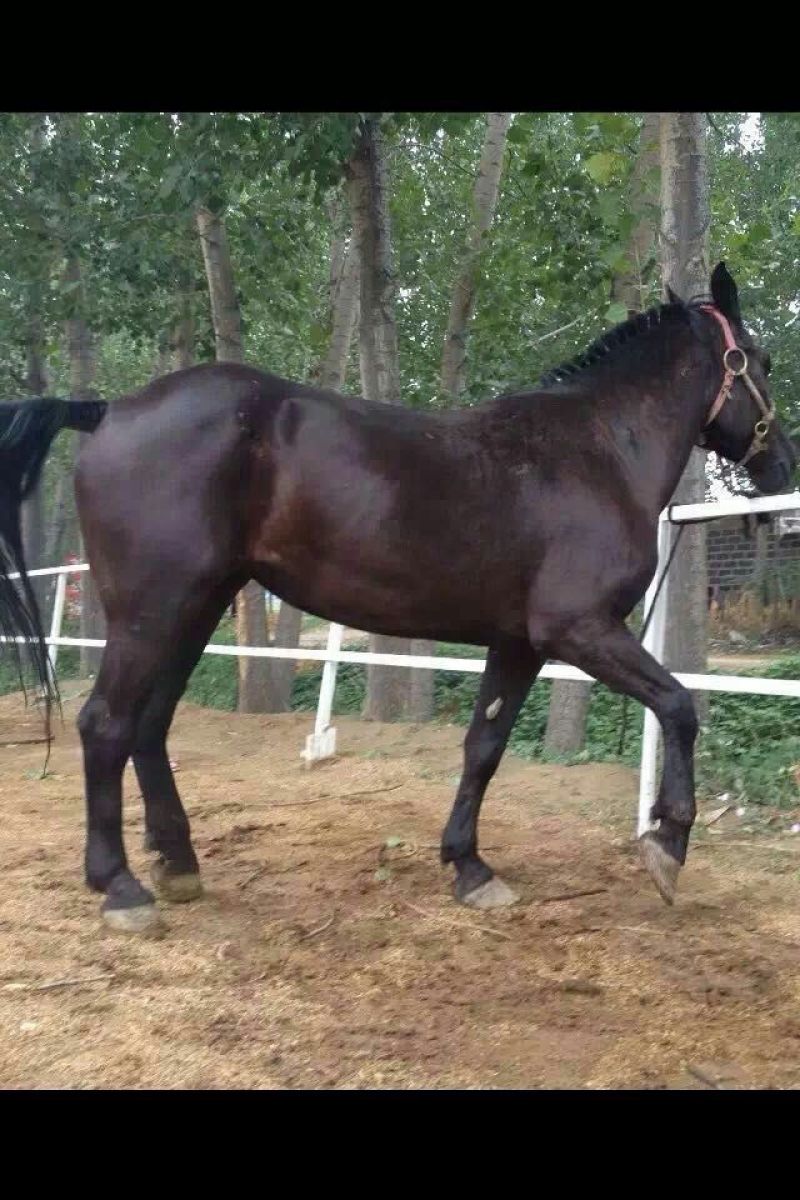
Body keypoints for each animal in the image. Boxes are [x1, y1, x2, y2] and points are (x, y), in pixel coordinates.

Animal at [0, 262, 794, 935]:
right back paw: (121, 888)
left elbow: (483, 747)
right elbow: (679, 706)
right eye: (759, 360)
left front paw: (470, 867)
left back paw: (178, 864)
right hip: (151, 612)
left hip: (193, 609)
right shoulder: (579, 630)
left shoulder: (518, 642)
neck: (597, 448)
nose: (781, 465)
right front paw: (668, 842)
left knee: (150, 725)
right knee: (106, 724)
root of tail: (109, 411)